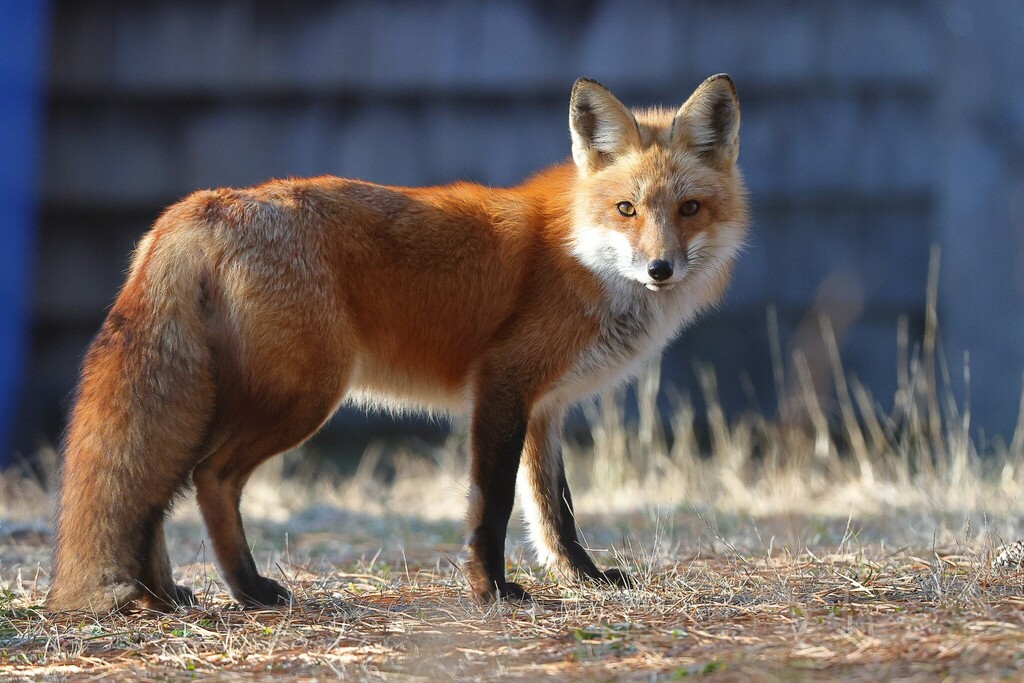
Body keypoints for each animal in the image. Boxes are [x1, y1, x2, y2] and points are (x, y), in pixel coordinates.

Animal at [46, 74, 753, 614]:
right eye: (627, 209)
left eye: (689, 209)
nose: (660, 269)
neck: (581, 251)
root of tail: (197, 205)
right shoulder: (502, 384)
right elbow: (493, 506)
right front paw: (491, 590)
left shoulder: (545, 407)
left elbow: (555, 513)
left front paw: (585, 579)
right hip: (301, 396)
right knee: (206, 478)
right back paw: (248, 591)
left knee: (154, 494)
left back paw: (164, 595)